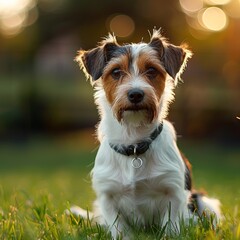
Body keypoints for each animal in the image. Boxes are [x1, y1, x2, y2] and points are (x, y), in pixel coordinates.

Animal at [70, 29, 221, 238]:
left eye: (151, 70)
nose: (135, 94)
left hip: (203, 201)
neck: (134, 142)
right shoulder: (107, 195)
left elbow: (171, 227)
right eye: (116, 72)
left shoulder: (174, 191)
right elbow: (120, 229)